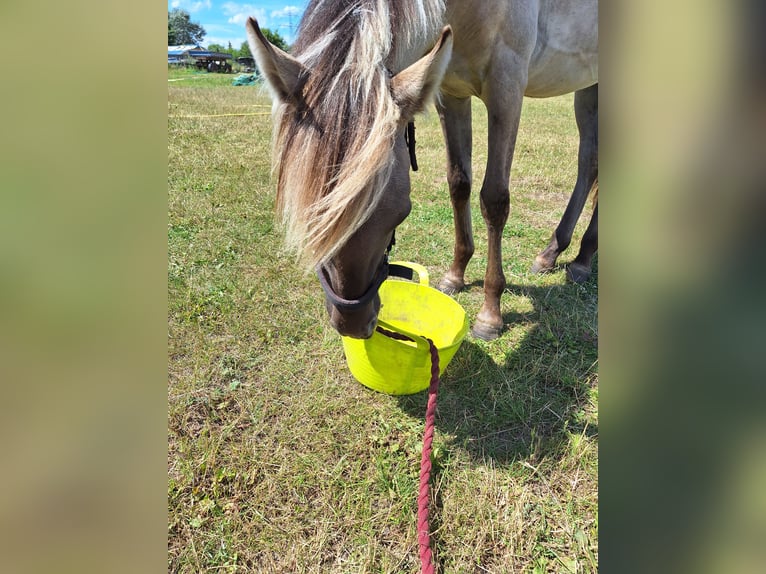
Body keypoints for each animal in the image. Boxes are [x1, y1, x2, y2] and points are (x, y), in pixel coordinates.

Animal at [249, 0, 596, 342]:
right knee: (589, 165)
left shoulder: (506, 88)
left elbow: (494, 200)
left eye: (401, 214)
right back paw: (552, 253)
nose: (352, 324)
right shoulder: (452, 95)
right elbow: (459, 183)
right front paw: (455, 276)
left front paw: (490, 314)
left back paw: (582, 260)